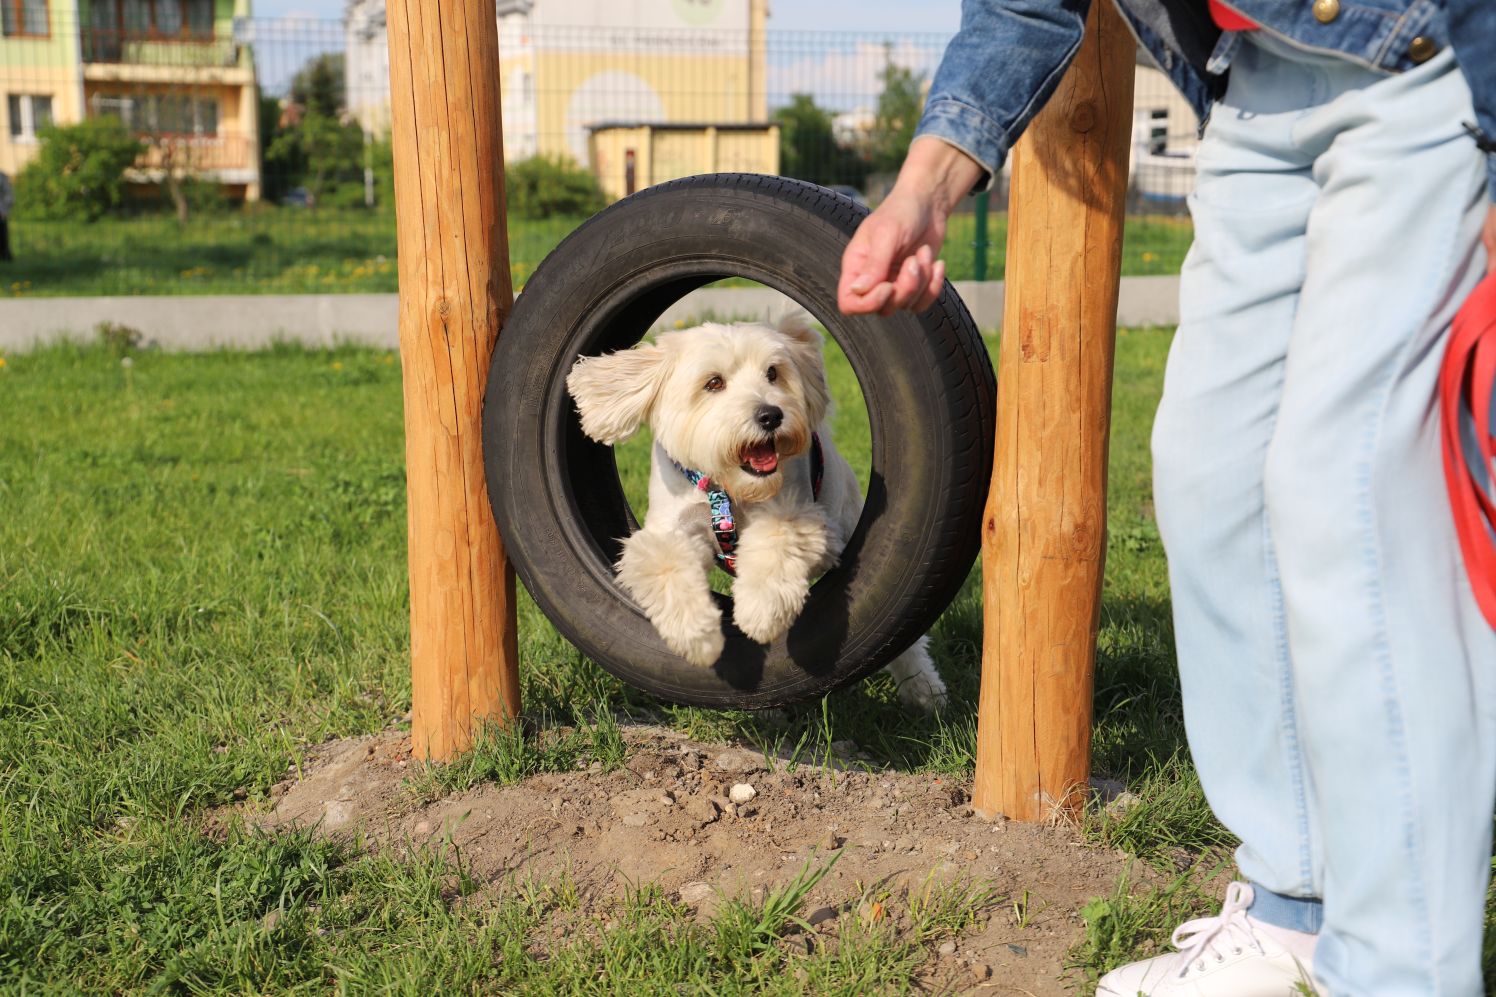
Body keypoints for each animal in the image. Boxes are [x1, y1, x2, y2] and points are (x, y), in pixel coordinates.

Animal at [565, 311, 939, 706]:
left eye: (773, 373)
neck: (729, 490)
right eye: (713, 382)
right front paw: (696, 636)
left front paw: (761, 611)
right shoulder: (669, 528)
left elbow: (775, 543)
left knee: (909, 646)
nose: (770, 415)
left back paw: (924, 689)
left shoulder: (804, 519)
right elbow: (666, 565)